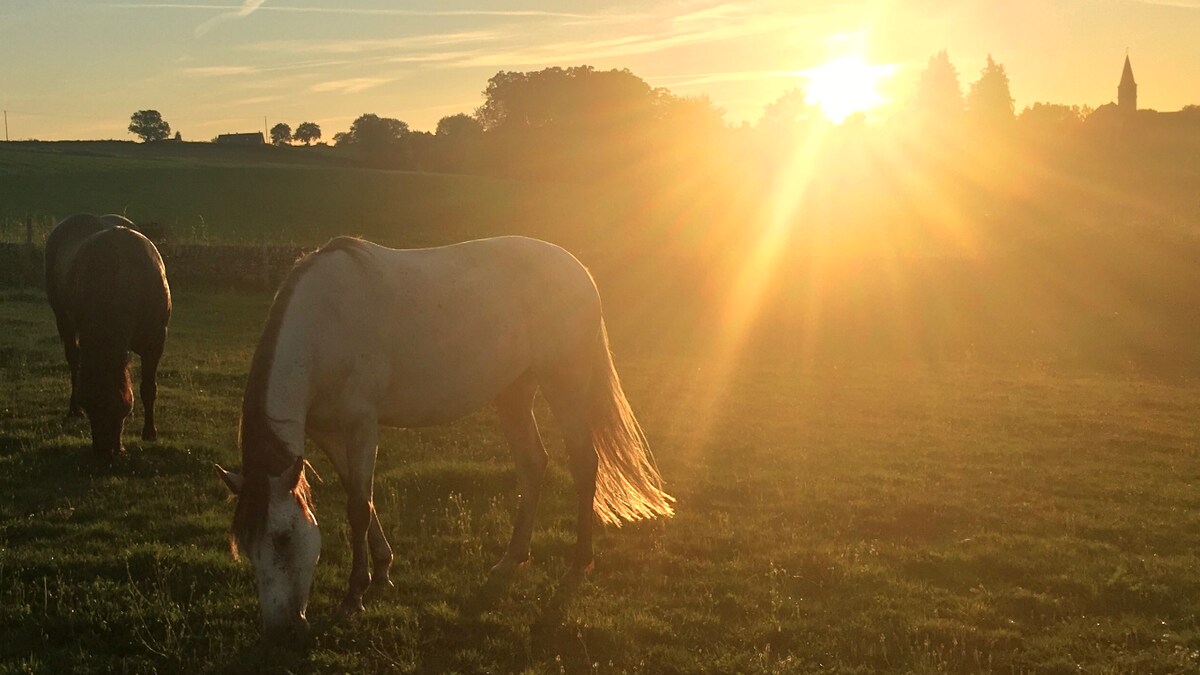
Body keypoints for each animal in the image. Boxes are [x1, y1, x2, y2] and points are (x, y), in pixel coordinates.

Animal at [45, 213, 171, 456]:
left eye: (120, 406)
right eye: (89, 404)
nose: (105, 452)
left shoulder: (156, 340)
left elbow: (148, 388)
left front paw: (150, 432)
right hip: (63, 319)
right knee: (74, 361)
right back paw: (73, 409)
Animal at [214, 234, 676, 638]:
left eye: (283, 537)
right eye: (246, 545)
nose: (280, 630)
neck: (322, 325)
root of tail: (577, 269)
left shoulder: (361, 423)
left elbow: (358, 507)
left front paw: (355, 594)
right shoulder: (327, 432)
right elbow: (359, 496)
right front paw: (382, 571)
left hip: (564, 384)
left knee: (584, 464)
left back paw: (581, 560)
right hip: (513, 393)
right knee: (533, 464)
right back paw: (511, 559)